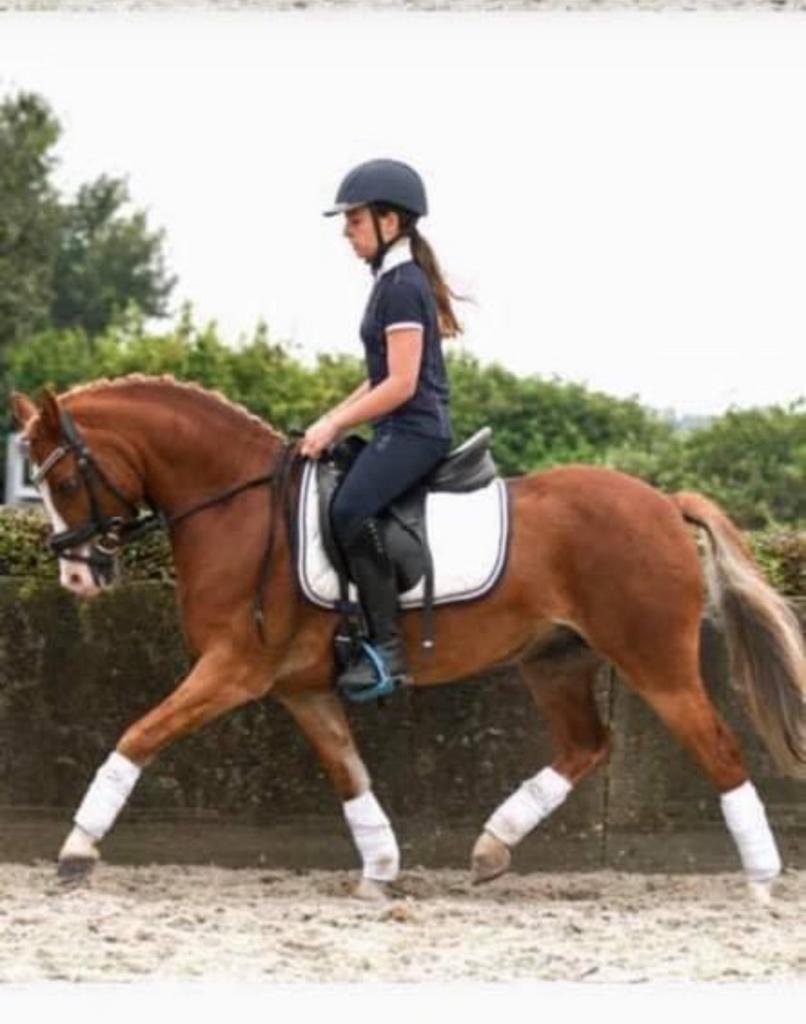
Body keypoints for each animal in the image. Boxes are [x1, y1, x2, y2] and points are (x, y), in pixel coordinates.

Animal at [10, 376, 806, 902]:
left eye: (65, 483)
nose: (78, 575)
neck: (237, 508)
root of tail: (665, 503)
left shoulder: (232, 668)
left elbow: (139, 735)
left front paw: (77, 850)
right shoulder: (299, 688)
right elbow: (349, 774)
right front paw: (381, 868)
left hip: (654, 660)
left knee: (721, 751)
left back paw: (763, 881)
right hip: (555, 660)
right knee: (587, 746)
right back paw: (491, 847)